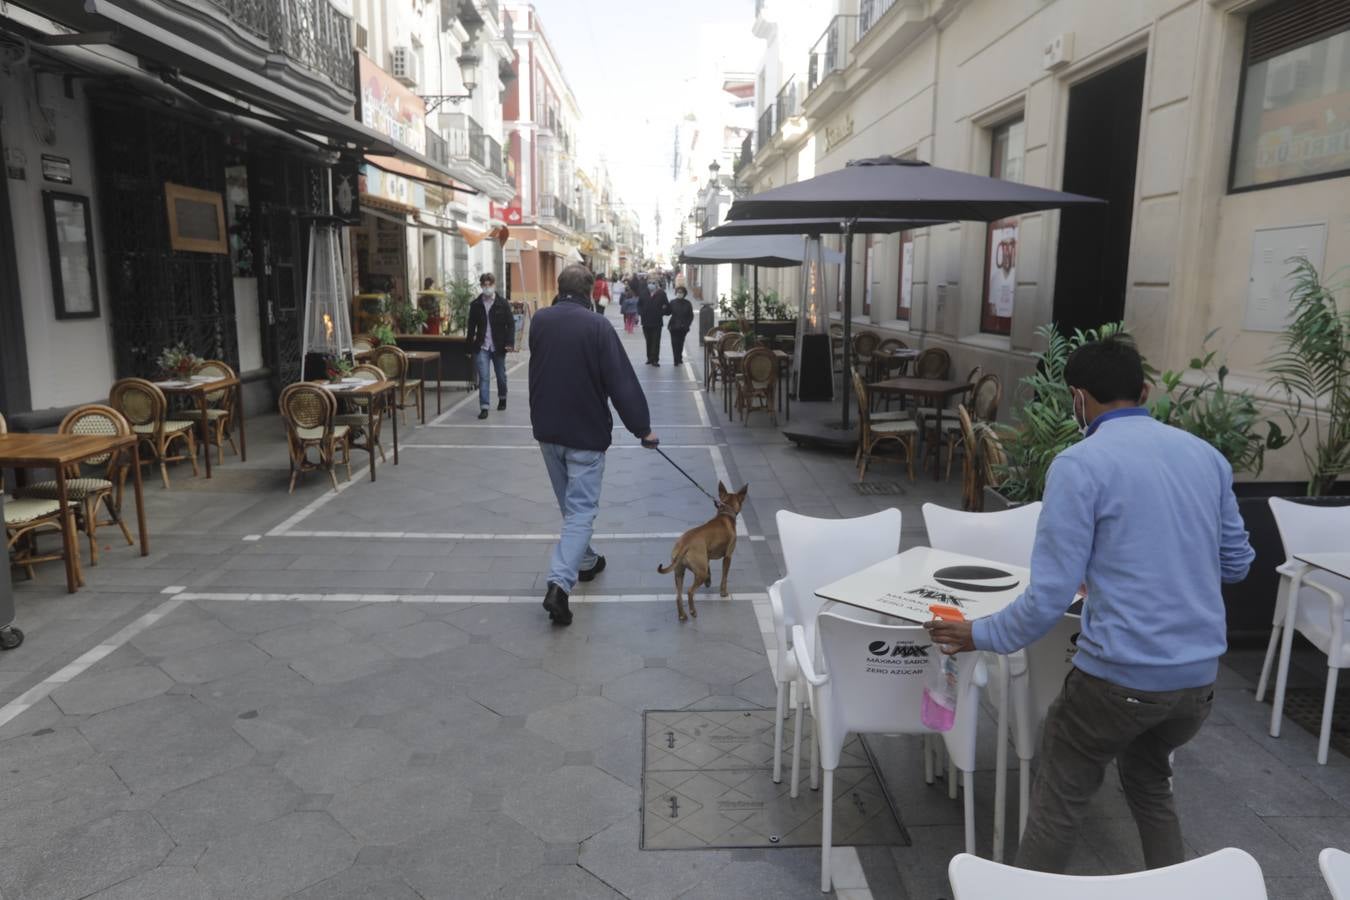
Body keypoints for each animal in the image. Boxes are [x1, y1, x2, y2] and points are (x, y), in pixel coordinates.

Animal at [656, 483, 750, 623]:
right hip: (699, 572)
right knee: (690, 591)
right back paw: (693, 611)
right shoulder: (728, 556)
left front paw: (709, 581)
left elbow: (710, 569)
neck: (725, 514)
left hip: (679, 572)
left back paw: (682, 615)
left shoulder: (707, 556)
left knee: (678, 595)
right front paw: (723, 593)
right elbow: (724, 577)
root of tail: (685, 544)